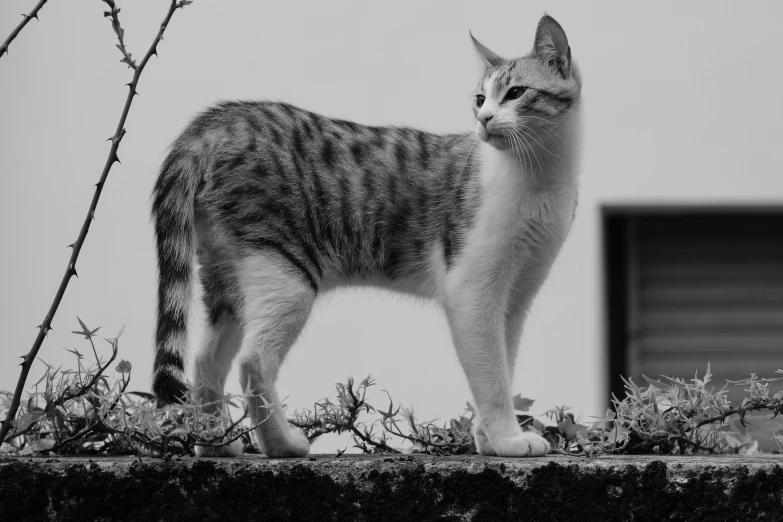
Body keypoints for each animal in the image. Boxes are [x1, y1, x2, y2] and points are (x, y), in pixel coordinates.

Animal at [152, 14, 580, 456]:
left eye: (516, 93)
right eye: (480, 99)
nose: (484, 119)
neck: (537, 176)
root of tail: (220, 121)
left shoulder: (515, 297)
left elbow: (501, 365)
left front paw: (487, 439)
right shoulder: (473, 291)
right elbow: (492, 376)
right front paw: (508, 439)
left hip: (226, 275)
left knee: (204, 361)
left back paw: (214, 442)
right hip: (284, 269)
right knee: (253, 361)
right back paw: (282, 444)